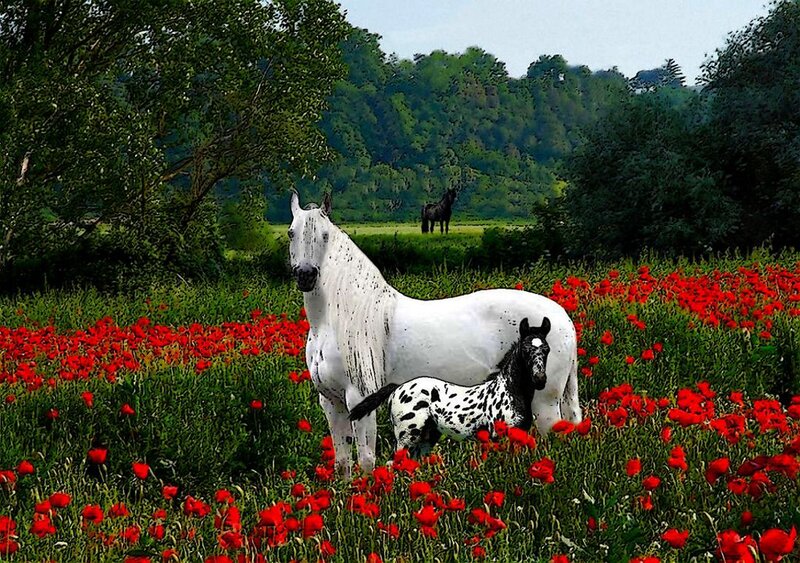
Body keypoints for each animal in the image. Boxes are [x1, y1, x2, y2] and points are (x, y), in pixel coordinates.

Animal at [348, 317, 551, 458]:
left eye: (547, 349)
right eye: (525, 350)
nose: (540, 379)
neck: (509, 392)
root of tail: (397, 388)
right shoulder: (498, 436)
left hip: (426, 439)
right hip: (406, 436)